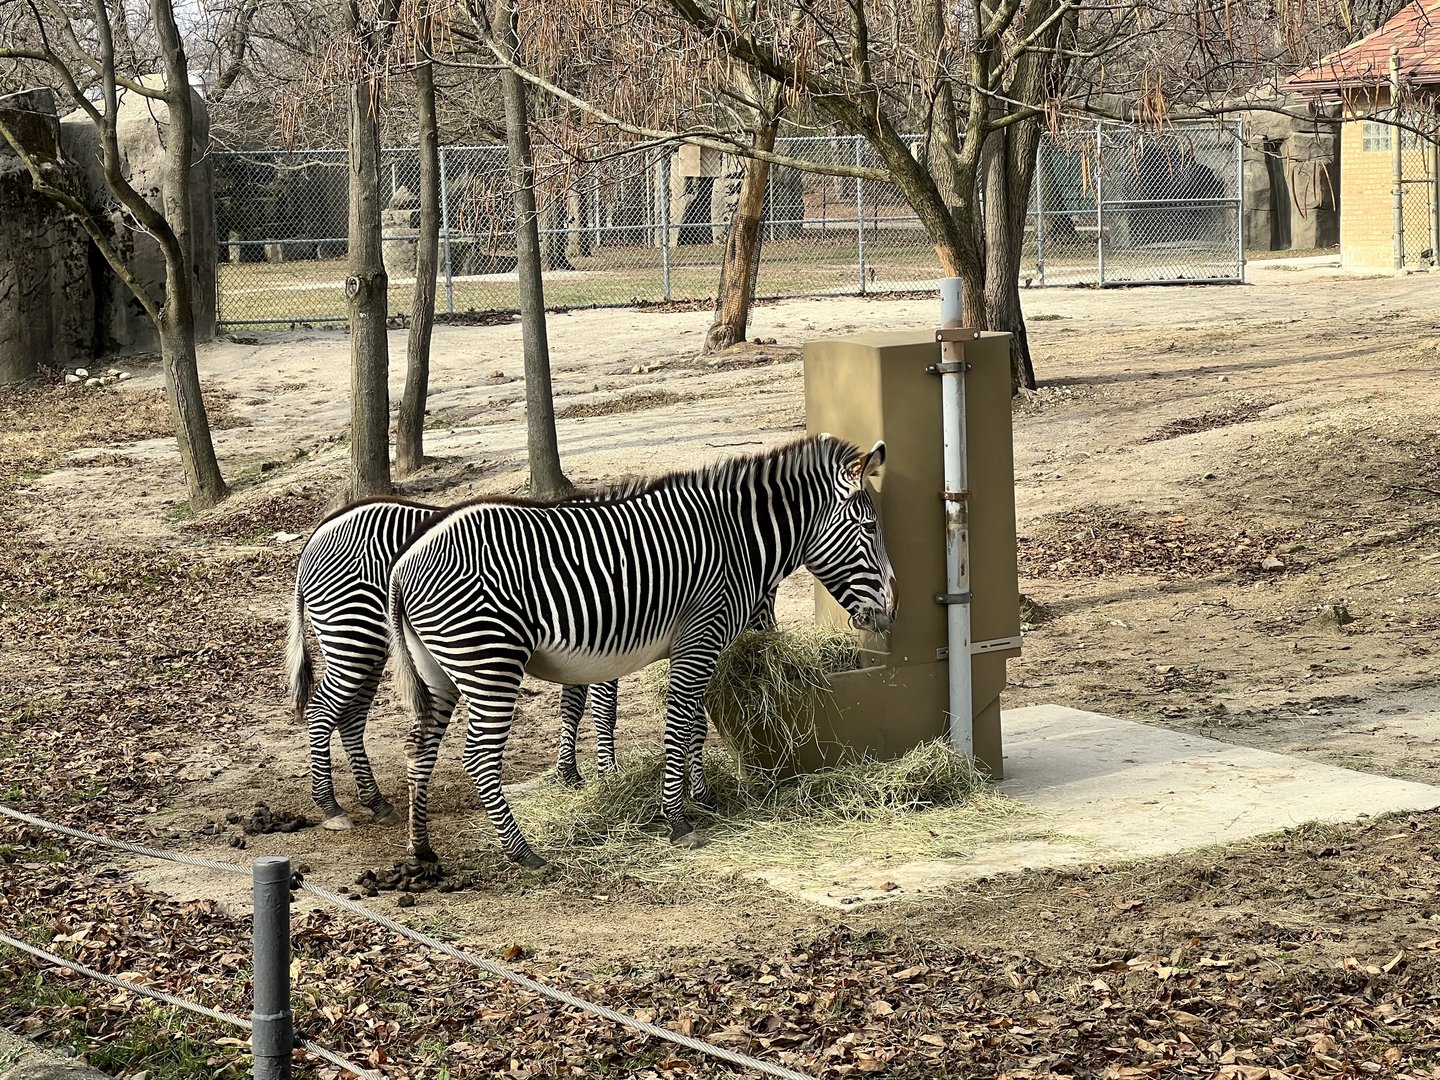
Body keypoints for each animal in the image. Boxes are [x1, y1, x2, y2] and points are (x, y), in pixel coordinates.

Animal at [285, 497, 627, 830]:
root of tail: (318, 533)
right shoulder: (603, 642)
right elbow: (604, 710)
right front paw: (609, 776)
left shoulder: (581, 653)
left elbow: (573, 708)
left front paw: (570, 774)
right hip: (353, 635)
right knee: (322, 709)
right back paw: (330, 806)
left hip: (369, 647)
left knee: (350, 716)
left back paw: (377, 803)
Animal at [387, 434, 896, 870]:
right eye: (870, 527)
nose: (891, 612)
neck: (734, 539)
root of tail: (403, 561)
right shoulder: (700, 637)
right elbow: (678, 725)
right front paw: (678, 819)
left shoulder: (695, 645)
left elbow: (696, 726)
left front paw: (704, 798)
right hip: (488, 662)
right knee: (478, 757)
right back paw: (523, 853)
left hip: (438, 672)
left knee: (419, 749)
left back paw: (421, 851)